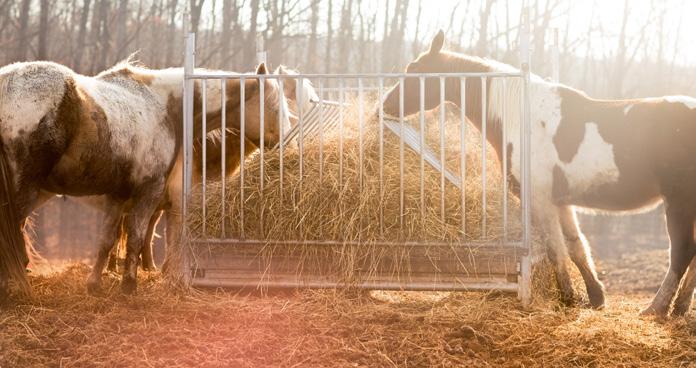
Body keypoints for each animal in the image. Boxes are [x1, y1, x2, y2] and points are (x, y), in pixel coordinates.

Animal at [0, 59, 288, 300]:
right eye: (275, 108)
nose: (286, 143)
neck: (165, 107)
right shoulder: (150, 191)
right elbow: (138, 238)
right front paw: (129, 285)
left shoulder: (118, 196)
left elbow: (107, 240)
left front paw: (95, 284)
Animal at [380, 31, 696, 318]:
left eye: (413, 72)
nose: (385, 105)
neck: (522, 118)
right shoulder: (562, 202)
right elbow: (576, 246)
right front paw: (595, 297)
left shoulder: (541, 200)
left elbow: (556, 249)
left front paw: (568, 296)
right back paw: (679, 308)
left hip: (679, 202)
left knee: (681, 253)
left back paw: (656, 308)